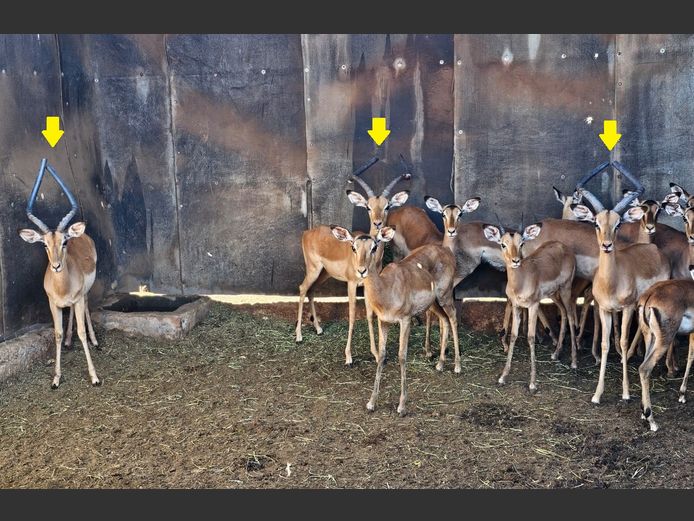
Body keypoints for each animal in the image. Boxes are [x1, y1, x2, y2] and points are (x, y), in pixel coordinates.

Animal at [19, 211, 100, 388]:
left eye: (64, 242)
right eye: (44, 244)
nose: (56, 266)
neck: (62, 288)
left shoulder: (78, 299)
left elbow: (81, 332)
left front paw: (94, 377)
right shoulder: (53, 304)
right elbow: (57, 334)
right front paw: (56, 379)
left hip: (84, 293)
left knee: (86, 305)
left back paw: (95, 340)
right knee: (71, 311)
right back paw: (69, 341)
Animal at [295, 164, 410, 367]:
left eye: (387, 206)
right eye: (368, 206)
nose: (378, 223)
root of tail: (307, 232)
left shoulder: (367, 286)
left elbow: (370, 315)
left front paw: (376, 354)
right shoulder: (351, 284)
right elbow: (352, 314)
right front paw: (348, 356)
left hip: (324, 274)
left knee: (311, 290)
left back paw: (318, 329)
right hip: (313, 269)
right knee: (302, 288)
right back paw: (299, 336)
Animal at [330, 225, 459, 416]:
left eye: (374, 247)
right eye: (353, 247)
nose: (361, 270)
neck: (387, 289)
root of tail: (447, 251)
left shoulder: (405, 320)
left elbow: (402, 356)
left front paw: (402, 406)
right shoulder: (383, 322)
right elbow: (382, 355)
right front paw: (371, 403)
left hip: (445, 296)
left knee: (453, 317)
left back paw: (457, 366)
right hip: (434, 303)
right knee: (444, 320)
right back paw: (440, 364)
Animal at [483, 223, 577, 391]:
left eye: (522, 243)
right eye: (503, 244)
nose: (515, 261)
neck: (521, 281)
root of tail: (564, 247)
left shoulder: (533, 305)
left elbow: (531, 337)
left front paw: (532, 383)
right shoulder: (517, 306)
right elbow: (514, 335)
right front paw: (503, 377)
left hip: (566, 289)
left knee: (571, 316)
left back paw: (573, 362)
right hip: (554, 294)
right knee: (564, 313)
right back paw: (556, 353)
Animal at [571, 188, 670, 404]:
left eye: (618, 224)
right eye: (596, 223)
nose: (607, 245)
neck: (611, 282)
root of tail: (653, 248)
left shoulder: (627, 308)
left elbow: (623, 341)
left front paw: (625, 393)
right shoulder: (605, 310)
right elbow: (605, 344)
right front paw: (597, 394)